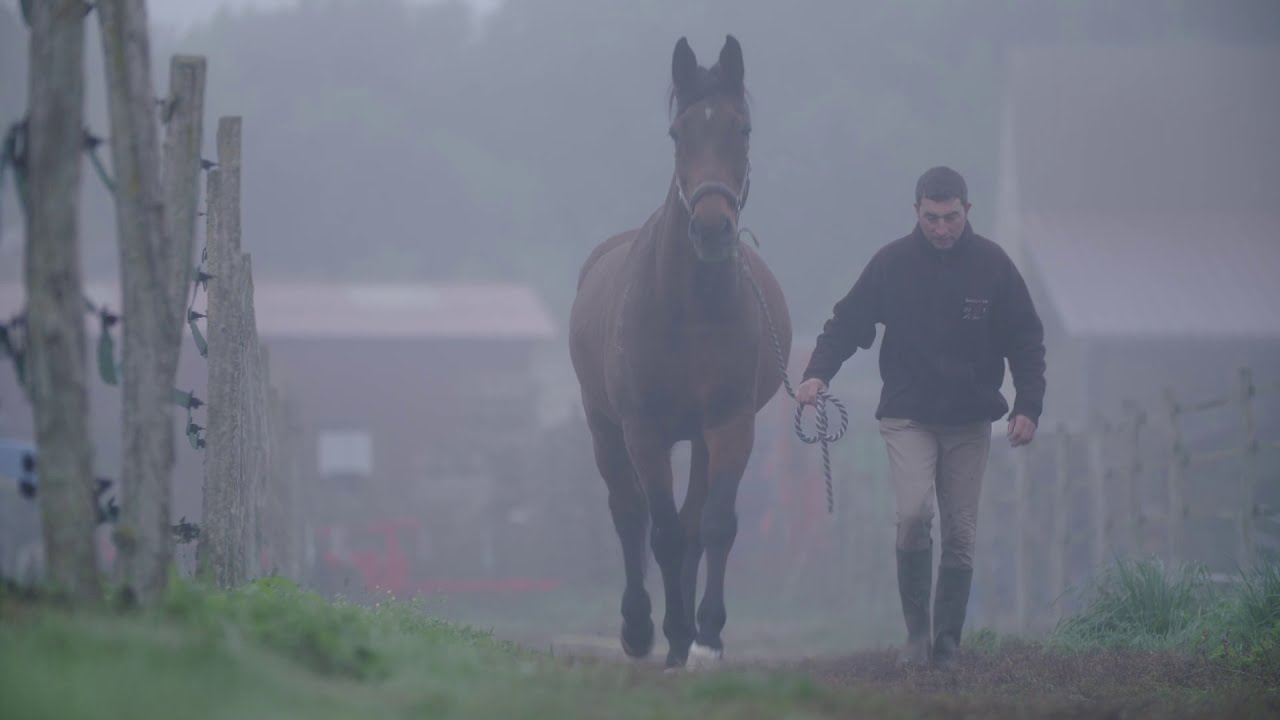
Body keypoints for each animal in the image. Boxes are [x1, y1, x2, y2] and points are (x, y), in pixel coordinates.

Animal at [570, 35, 788, 666]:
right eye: (677, 132)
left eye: (742, 128)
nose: (712, 229)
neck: (688, 310)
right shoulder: (643, 429)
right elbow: (661, 531)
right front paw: (663, 631)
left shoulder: (730, 424)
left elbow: (712, 526)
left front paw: (706, 635)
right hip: (605, 428)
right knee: (629, 515)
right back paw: (642, 628)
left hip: (698, 437)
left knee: (692, 522)